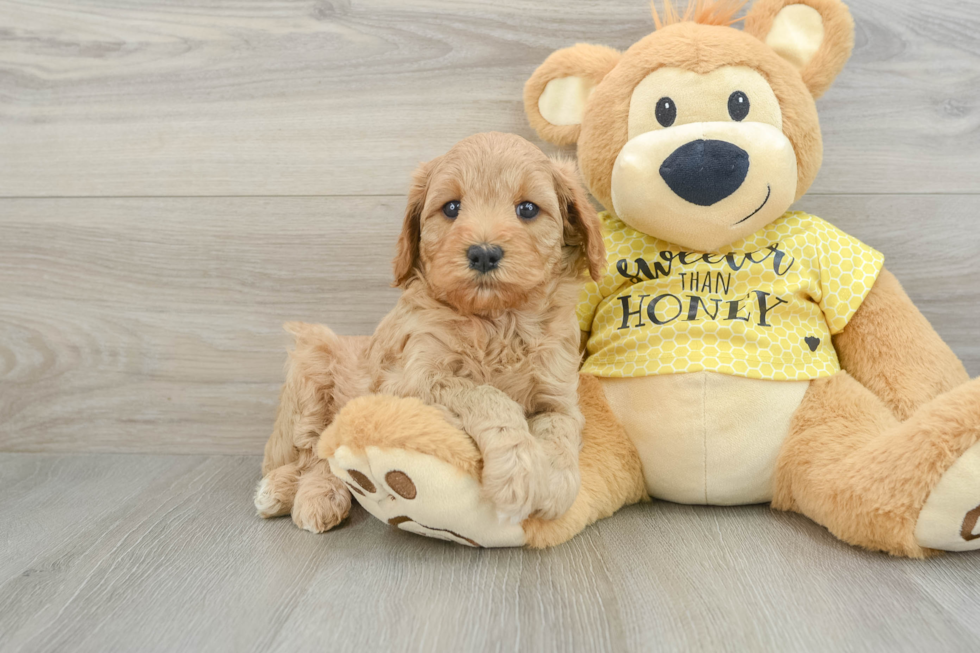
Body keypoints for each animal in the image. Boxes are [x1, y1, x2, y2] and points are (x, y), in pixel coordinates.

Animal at [255, 131, 604, 528]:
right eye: (451, 208)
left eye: (528, 209)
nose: (484, 253)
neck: (496, 322)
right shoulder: (409, 382)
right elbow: (484, 393)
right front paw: (519, 473)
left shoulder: (559, 394)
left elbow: (561, 428)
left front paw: (556, 484)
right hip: (312, 361)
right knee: (315, 452)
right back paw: (302, 494)